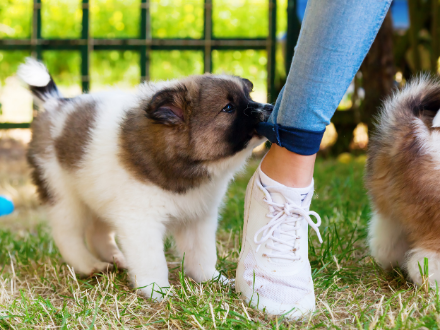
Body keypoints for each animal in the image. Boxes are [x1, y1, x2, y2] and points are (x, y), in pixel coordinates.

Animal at [17, 56, 272, 300]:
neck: (183, 166)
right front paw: (157, 290)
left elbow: (202, 252)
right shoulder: (140, 220)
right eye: (228, 108)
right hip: (63, 195)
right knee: (67, 235)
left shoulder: (197, 218)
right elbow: (152, 259)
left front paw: (210, 279)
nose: (269, 108)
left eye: (248, 96)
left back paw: (116, 258)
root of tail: (55, 103)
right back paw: (89, 265)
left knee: (97, 233)